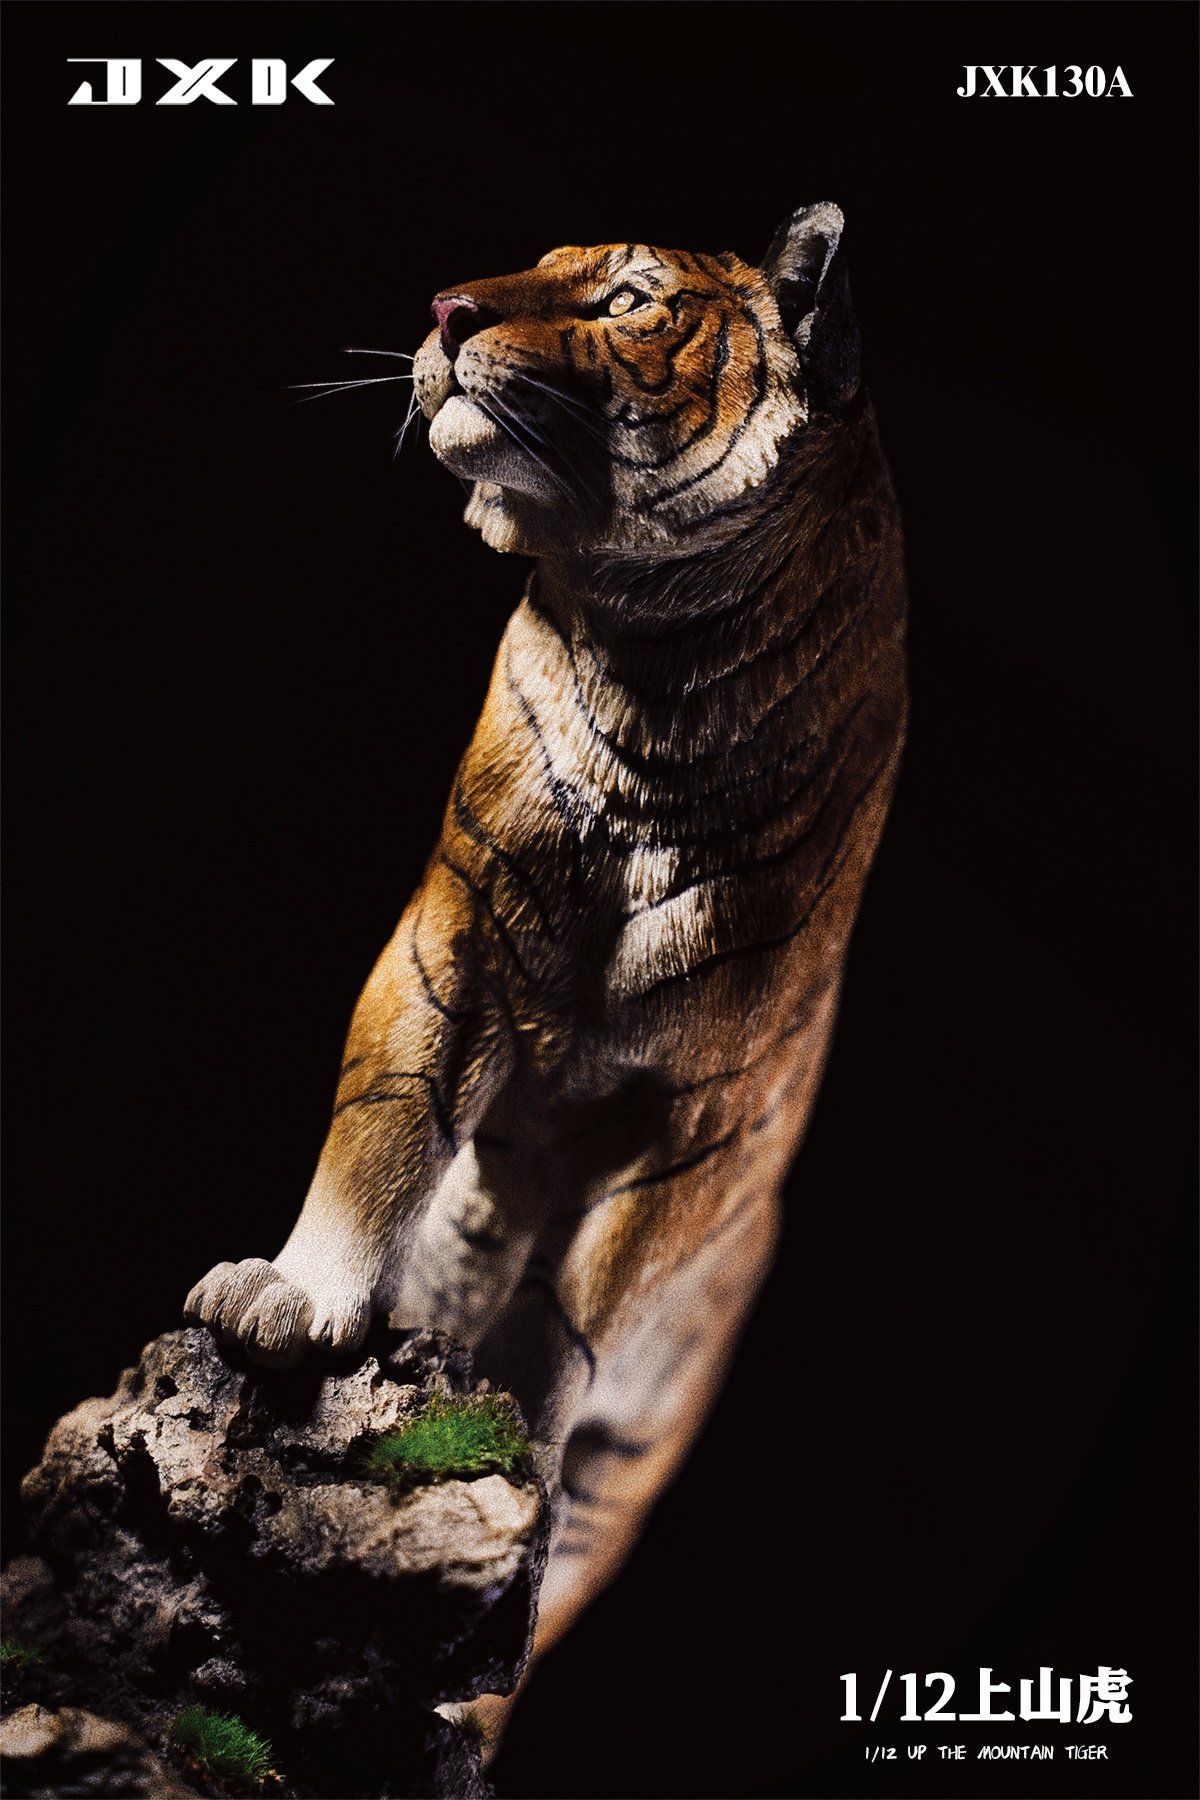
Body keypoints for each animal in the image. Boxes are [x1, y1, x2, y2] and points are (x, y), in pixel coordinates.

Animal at [185, 201, 908, 1740]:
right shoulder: (449, 934)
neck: (660, 665)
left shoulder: (694, 1109)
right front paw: (291, 1300)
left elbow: (584, 1292)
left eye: (628, 300)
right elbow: (384, 1128)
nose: (447, 309)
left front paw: (514, 1433)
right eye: (536, 265)